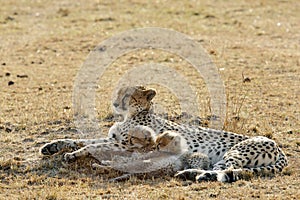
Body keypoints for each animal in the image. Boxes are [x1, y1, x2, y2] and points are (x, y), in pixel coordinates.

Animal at [38, 85, 288, 182]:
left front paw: (74, 155)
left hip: (234, 152)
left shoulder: (129, 145)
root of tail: (277, 146)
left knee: (224, 171)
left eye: (128, 94)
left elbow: (92, 146)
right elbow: (81, 139)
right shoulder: (114, 139)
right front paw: (53, 146)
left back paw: (195, 174)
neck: (130, 114)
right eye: (119, 92)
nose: (115, 102)